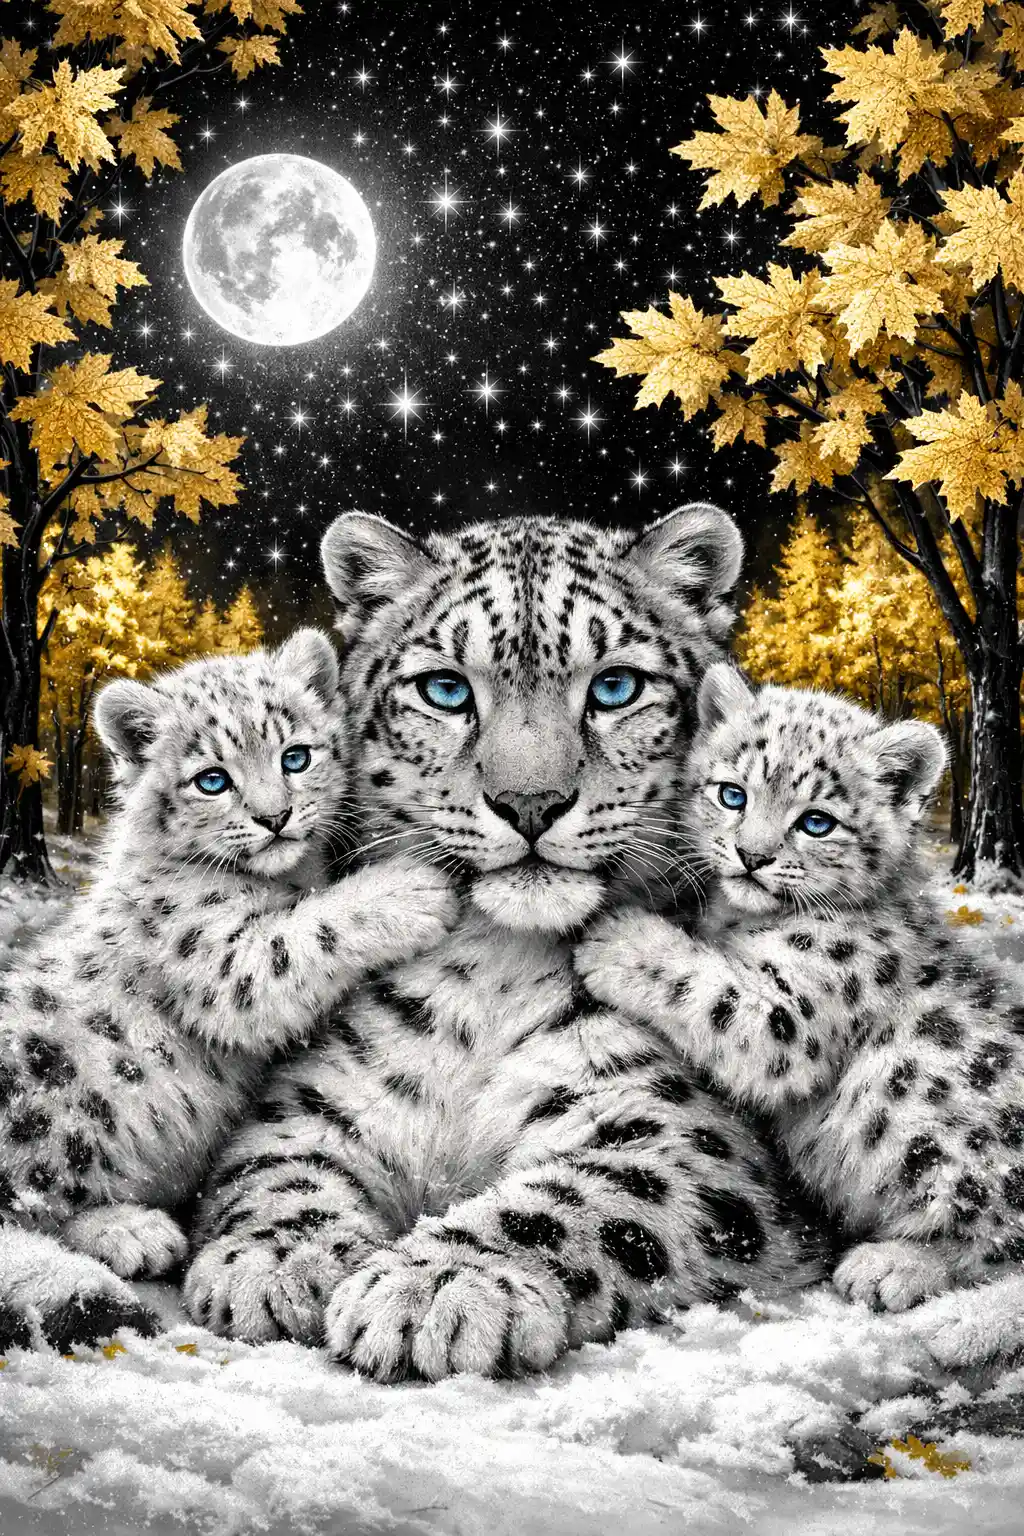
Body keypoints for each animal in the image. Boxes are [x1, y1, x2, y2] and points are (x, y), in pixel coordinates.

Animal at [0, 627, 455, 1352]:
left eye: (296, 756)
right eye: (212, 780)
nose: (276, 817)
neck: (286, 876)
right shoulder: (218, 958)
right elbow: (298, 938)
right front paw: (410, 889)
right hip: (55, 1094)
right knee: (31, 1198)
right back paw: (132, 1232)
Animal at [182, 505, 827, 1381]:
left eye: (616, 686)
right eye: (446, 689)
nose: (530, 802)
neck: (491, 970)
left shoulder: (680, 1131)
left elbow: (590, 1200)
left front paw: (439, 1283)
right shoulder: (313, 1100)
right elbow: (272, 1167)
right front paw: (276, 1260)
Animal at [578, 663, 1024, 1315]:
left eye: (817, 822)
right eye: (732, 793)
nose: (751, 855)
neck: (737, 921)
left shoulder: (792, 1017)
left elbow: (713, 991)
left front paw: (617, 937)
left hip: (914, 1079)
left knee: (994, 1231)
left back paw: (892, 1265)